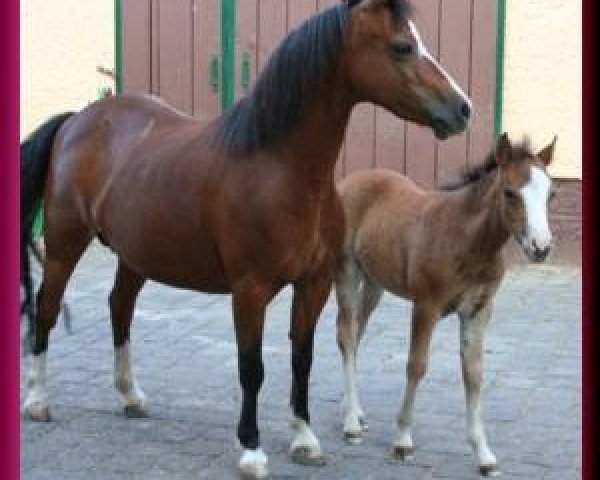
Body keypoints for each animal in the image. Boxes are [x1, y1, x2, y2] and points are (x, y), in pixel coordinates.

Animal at [336, 133, 556, 474]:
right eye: (509, 193)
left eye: (551, 194)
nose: (541, 247)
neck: (468, 239)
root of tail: (352, 180)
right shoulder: (426, 306)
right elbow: (416, 366)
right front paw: (403, 440)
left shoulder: (479, 311)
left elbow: (474, 373)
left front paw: (484, 454)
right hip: (347, 273)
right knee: (346, 335)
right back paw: (351, 425)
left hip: (374, 284)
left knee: (356, 333)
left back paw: (355, 412)